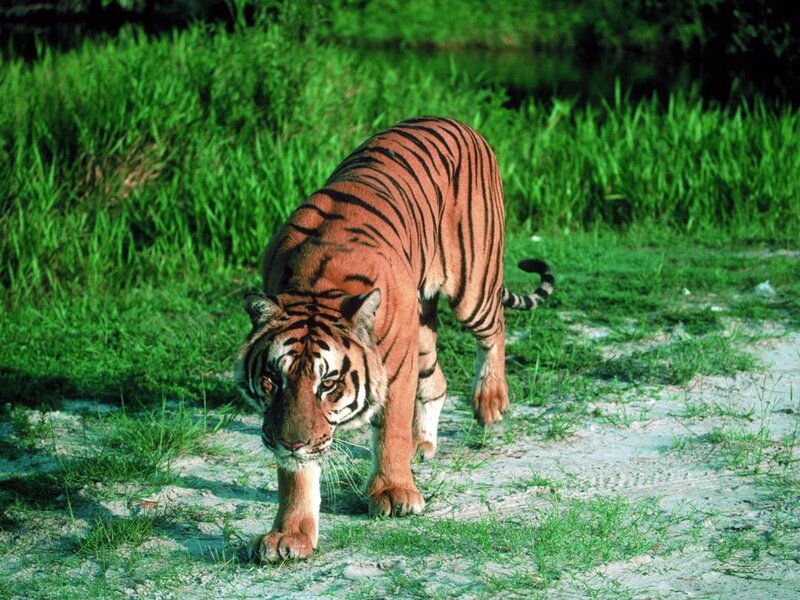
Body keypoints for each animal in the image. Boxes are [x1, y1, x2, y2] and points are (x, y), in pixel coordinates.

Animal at [234, 117, 554, 562]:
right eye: (272, 379)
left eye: (328, 383)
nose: (290, 442)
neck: (316, 285)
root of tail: (457, 121)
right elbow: (297, 473)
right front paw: (289, 536)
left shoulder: (396, 364)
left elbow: (391, 428)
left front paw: (394, 493)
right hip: (422, 322)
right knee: (436, 381)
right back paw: (423, 444)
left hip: (472, 288)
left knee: (496, 328)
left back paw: (490, 401)